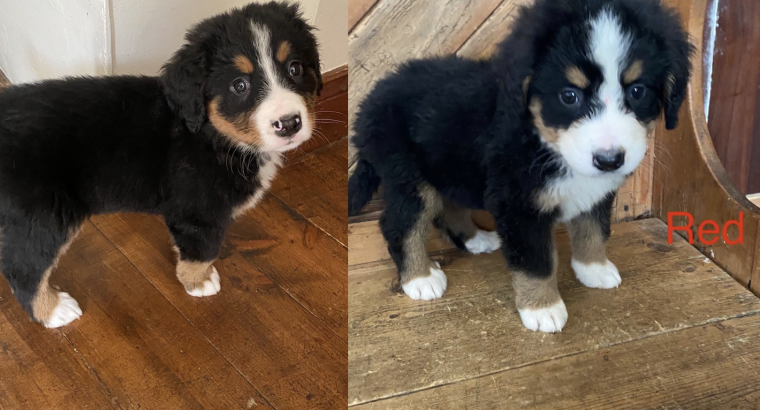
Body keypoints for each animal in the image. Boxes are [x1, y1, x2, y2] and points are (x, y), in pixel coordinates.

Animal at [0, 0, 322, 326]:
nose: (289, 123)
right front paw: (199, 281)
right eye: (239, 85)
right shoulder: (198, 212)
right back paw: (53, 311)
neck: (214, 136)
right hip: (45, 217)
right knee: (24, 271)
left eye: (295, 68)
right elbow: (204, 250)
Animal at [350, 0, 696, 334]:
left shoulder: (595, 194)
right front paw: (542, 309)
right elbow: (536, 261)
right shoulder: (519, 204)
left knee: (449, 208)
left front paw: (594, 268)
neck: (544, 141)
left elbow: (593, 229)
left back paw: (475, 239)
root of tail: (369, 103)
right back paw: (419, 279)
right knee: (399, 224)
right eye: (569, 96)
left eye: (637, 91)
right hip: (409, 178)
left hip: (449, 168)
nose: (609, 160)